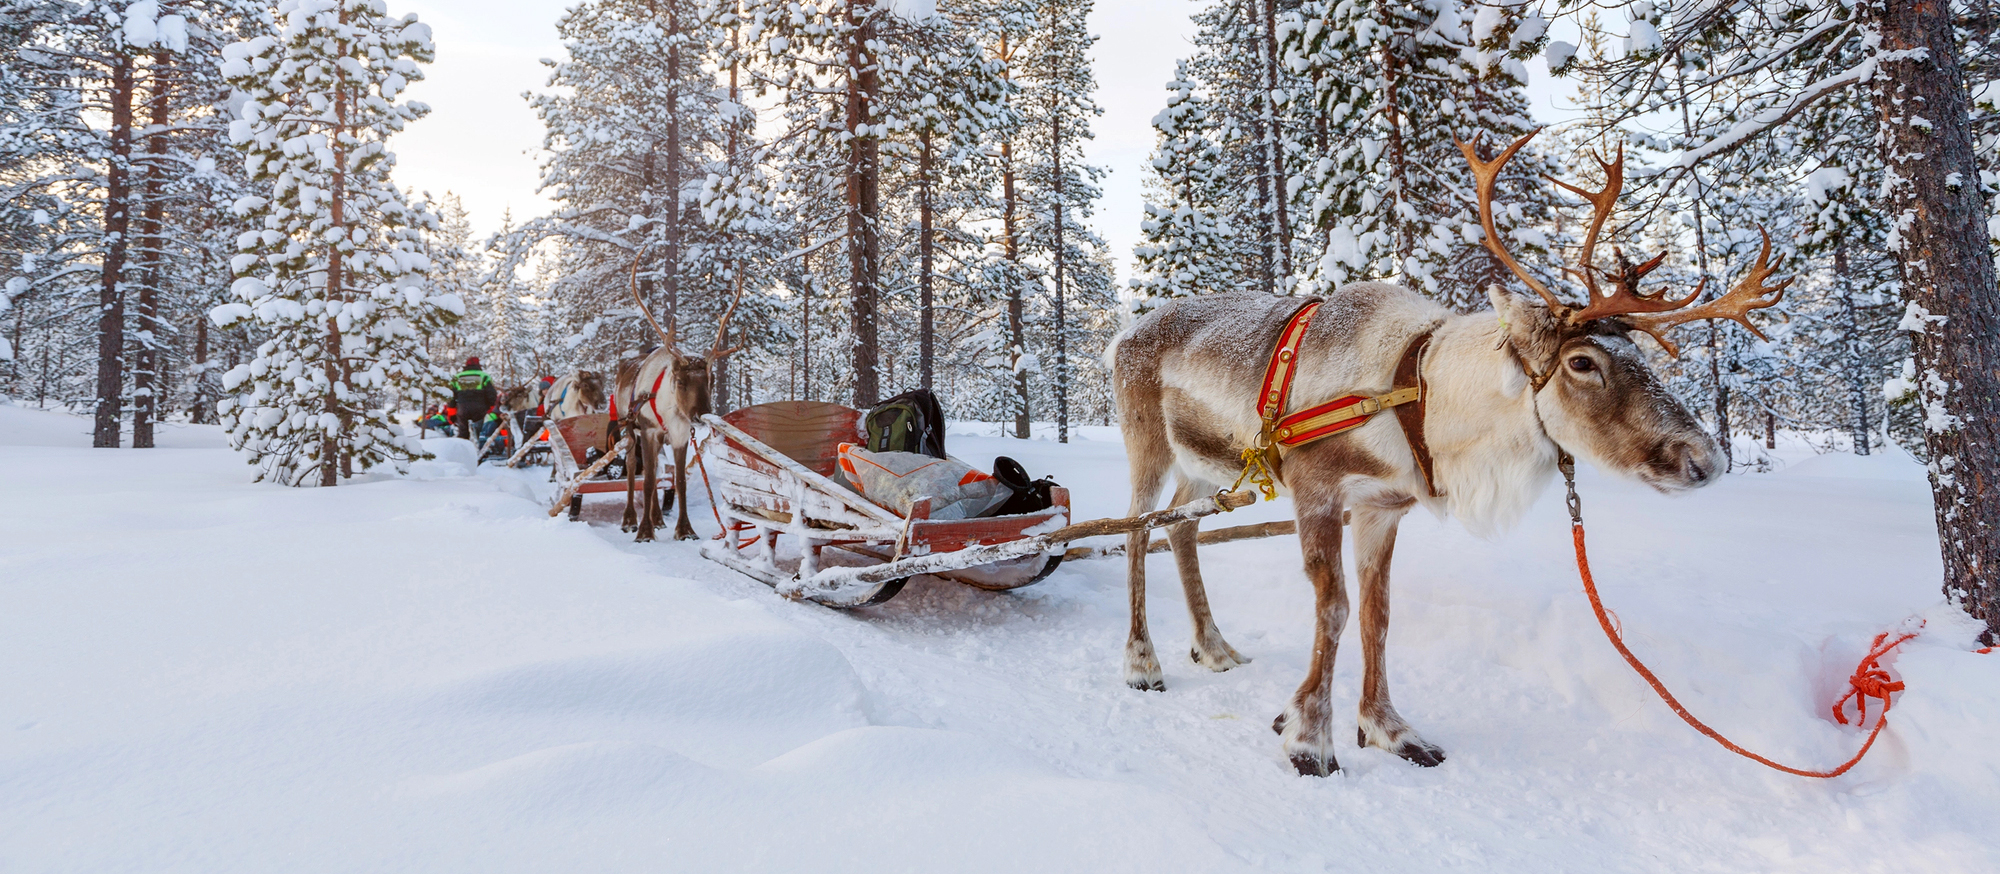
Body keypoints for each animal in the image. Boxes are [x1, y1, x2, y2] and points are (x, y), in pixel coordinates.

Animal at [1106, 129, 1791, 777]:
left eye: (1642, 356)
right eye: (1582, 362)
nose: (1707, 460)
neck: (1418, 392)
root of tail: (1123, 334)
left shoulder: (1382, 506)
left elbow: (1377, 615)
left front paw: (1390, 729)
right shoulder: (1318, 489)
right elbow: (1334, 610)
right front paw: (1310, 740)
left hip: (1204, 466)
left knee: (1180, 528)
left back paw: (1215, 648)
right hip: (1147, 443)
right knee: (1136, 529)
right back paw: (1143, 663)